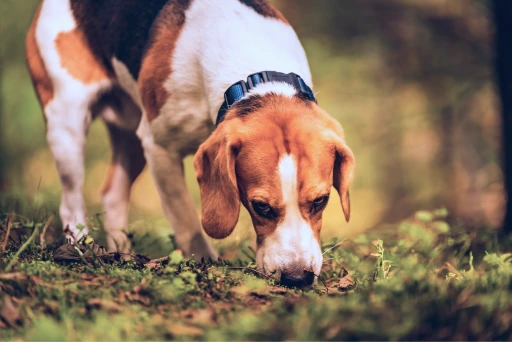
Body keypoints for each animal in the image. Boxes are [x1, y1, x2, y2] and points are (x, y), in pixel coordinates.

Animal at [26, 0, 354, 288]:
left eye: (321, 201)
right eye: (260, 206)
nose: (297, 279)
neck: (254, 77)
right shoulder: (159, 147)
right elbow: (184, 217)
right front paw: (204, 261)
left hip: (131, 136)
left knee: (112, 194)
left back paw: (121, 254)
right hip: (67, 123)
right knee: (71, 202)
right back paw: (79, 248)